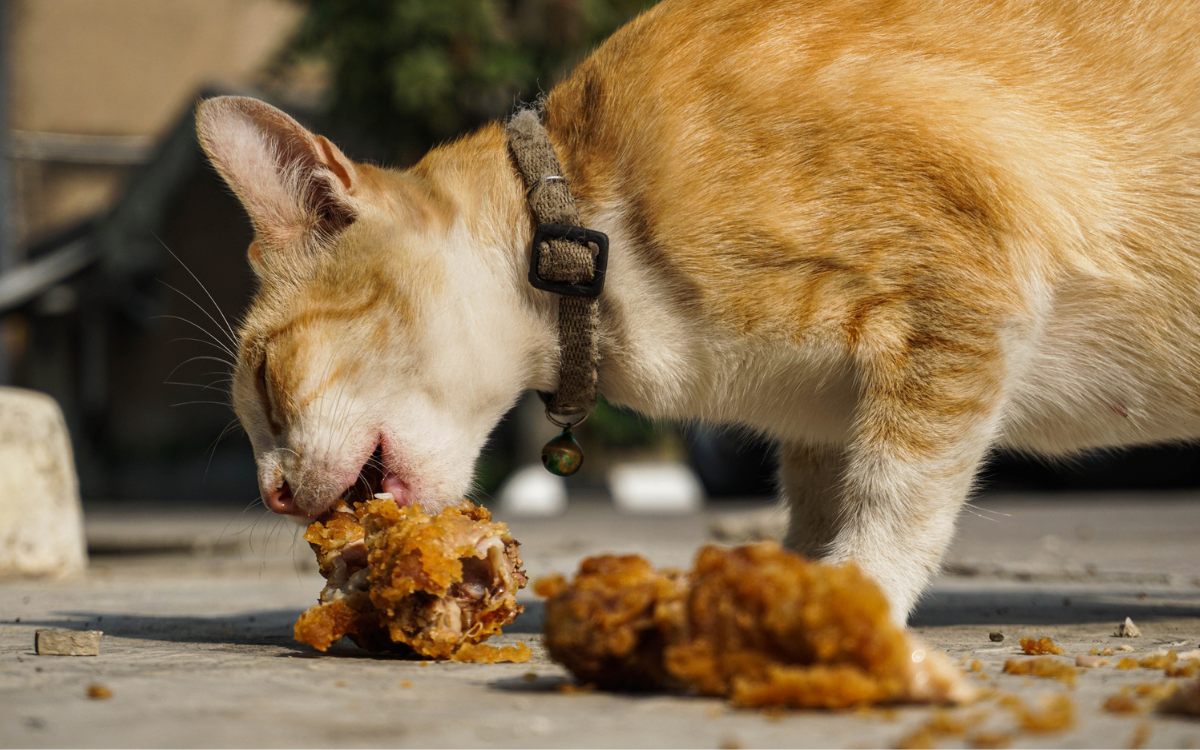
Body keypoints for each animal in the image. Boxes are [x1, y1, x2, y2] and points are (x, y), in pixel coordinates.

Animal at [194, 0, 1200, 624]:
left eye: (264, 376)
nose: (271, 492)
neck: (590, 228)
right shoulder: (823, 419)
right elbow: (816, 504)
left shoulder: (964, 287)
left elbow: (895, 492)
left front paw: (853, 595)